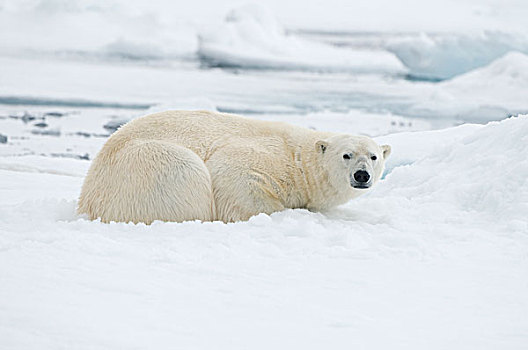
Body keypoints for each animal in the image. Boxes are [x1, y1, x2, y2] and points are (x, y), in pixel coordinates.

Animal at [79, 110, 392, 223]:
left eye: (373, 156)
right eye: (346, 155)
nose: (361, 175)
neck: (297, 158)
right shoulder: (261, 156)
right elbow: (235, 177)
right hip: (153, 166)